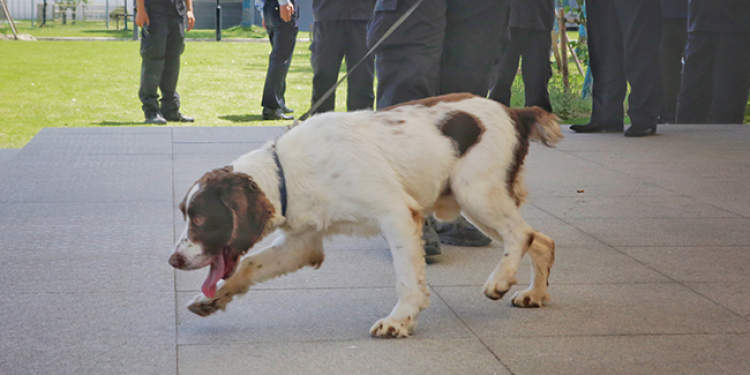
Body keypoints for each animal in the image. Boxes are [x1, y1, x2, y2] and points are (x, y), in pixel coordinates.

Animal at [169, 93, 560, 338]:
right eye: (185, 215)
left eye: (200, 219)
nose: (174, 260)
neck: (287, 173)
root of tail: (516, 112)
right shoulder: (304, 243)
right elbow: (249, 265)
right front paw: (209, 299)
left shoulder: (398, 214)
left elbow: (407, 278)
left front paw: (399, 320)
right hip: (478, 199)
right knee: (542, 239)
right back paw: (534, 294)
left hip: (475, 192)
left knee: (521, 235)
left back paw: (500, 280)